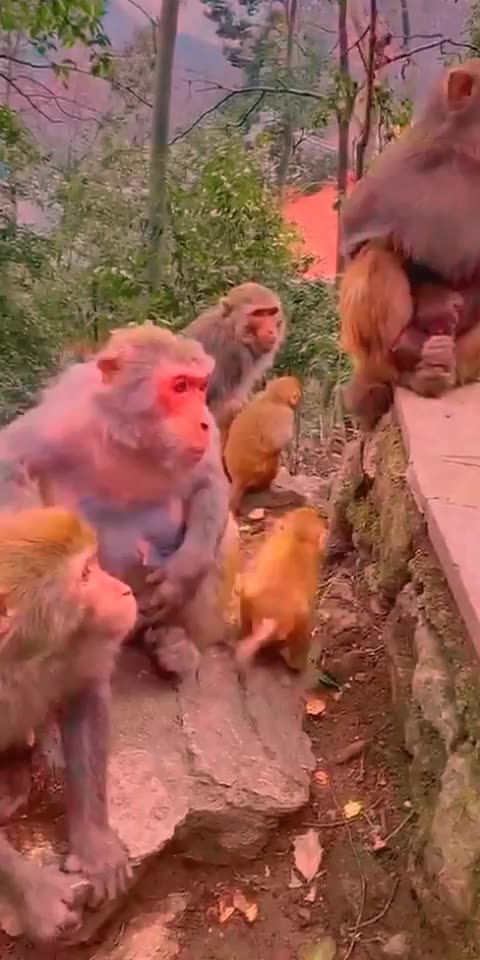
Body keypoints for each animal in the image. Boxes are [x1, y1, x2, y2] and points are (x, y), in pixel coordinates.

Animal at [0, 323, 230, 678]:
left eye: (200, 387)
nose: (203, 421)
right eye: (180, 386)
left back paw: (175, 640)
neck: (133, 435)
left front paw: (183, 574)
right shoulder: (67, 415)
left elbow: (209, 482)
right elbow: (12, 461)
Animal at [0, 506, 137, 943]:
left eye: (94, 563)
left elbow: (84, 692)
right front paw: (34, 895)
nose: (126, 591)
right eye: (86, 575)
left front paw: (96, 848)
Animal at [223, 376, 302, 515]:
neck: (272, 397)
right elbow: (276, 442)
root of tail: (238, 477)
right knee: (273, 456)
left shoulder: (259, 395)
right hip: (258, 473)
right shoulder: (285, 414)